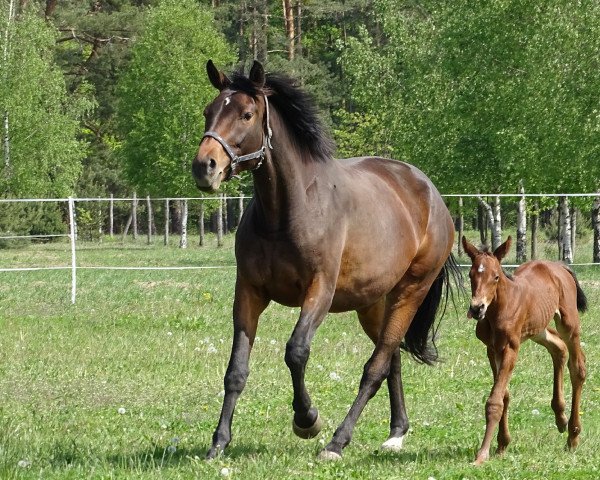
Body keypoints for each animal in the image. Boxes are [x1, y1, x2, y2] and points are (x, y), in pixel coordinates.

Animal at [192, 58, 460, 460]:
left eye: (246, 114)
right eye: (209, 111)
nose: (204, 167)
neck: (287, 212)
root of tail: (430, 194)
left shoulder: (319, 291)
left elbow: (296, 352)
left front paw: (307, 420)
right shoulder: (249, 292)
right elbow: (236, 369)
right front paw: (219, 442)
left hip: (409, 293)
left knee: (376, 365)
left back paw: (338, 441)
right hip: (373, 303)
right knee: (391, 357)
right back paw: (396, 432)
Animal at [462, 236, 584, 464]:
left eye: (496, 276)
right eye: (471, 274)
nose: (476, 308)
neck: (499, 308)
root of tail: (559, 266)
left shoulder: (511, 347)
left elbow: (495, 400)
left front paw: (482, 454)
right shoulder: (492, 349)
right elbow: (504, 395)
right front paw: (502, 444)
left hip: (569, 323)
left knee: (578, 368)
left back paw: (573, 436)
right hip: (538, 328)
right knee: (558, 348)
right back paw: (560, 417)